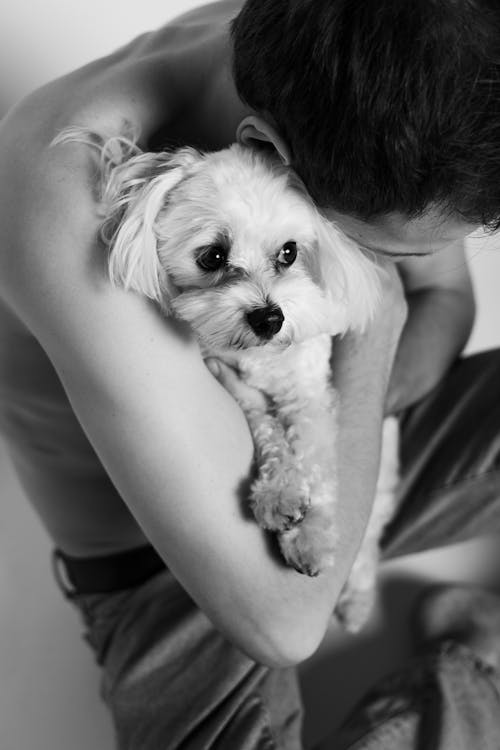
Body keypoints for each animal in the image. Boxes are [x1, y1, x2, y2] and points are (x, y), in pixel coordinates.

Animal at [54, 129, 398, 636]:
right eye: (212, 256)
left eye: (289, 252)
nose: (270, 318)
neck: (256, 357)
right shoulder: (226, 378)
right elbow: (262, 423)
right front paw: (279, 494)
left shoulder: (309, 393)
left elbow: (317, 461)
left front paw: (312, 536)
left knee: (371, 535)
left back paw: (356, 599)